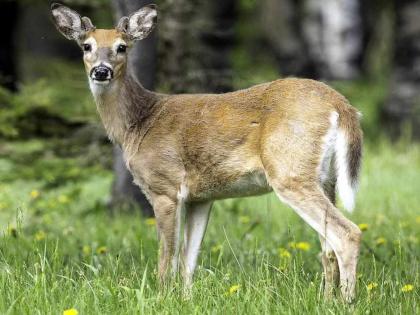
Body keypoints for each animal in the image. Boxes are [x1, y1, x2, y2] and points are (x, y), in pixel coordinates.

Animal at [50, 3, 362, 304]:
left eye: (121, 47)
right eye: (86, 46)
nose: (101, 71)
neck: (138, 125)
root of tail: (342, 105)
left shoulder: (165, 187)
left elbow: (167, 257)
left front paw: (162, 299)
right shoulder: (202, 197)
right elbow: (188, 260)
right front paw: (186, 300)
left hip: (289, 170)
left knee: (347, 234)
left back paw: (346, 302)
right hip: (325, 179)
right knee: (328, 248)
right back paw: (327, 301)